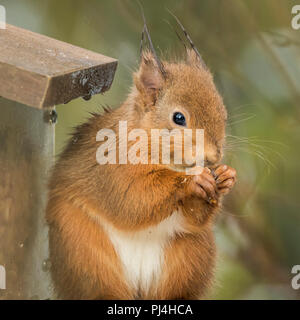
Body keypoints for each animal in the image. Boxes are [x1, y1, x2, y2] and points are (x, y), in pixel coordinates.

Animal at [45, 48, 237, 300]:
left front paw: (225, 176)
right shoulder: (110, 168)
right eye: (179, 117)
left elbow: (195, 217)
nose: (214, 157)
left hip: (191, 254)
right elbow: (133, 199)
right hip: (81, 249)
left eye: (223, 113)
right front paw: (193, 181)